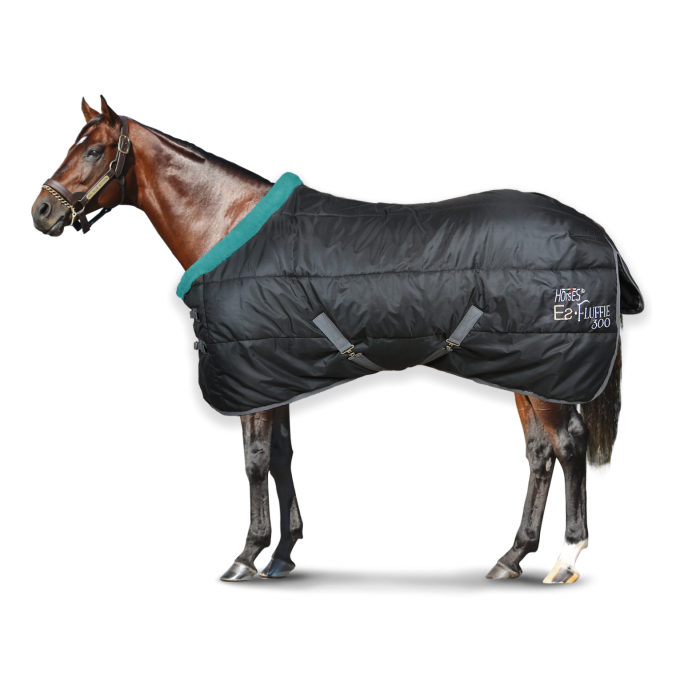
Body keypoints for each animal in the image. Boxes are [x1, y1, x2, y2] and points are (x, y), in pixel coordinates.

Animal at [30, 95, 644, 584]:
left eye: (93, 151)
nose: (43, 211)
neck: (227, 223)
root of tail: (597, 235)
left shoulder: (254, 382)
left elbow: (255, 462)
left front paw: (245, 558)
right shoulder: (273, 376)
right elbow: (281, 457)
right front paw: (282, 556)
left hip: (548, 375)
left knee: (568, 448)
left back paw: (565, 560)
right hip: (524, 370)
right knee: (539, 454)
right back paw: (512, 557)